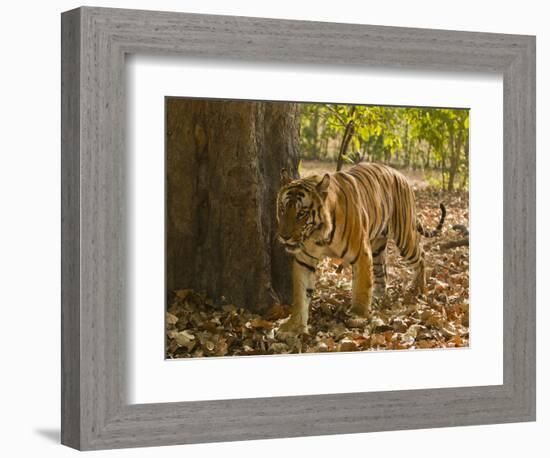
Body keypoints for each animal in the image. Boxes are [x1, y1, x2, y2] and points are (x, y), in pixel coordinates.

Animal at [278, 163, 446, 334]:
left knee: (422, 256)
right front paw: (293, 326)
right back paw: (378, 296)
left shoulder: (361, 253)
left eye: (302, 213)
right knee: (382, 273)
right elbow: (300, 294)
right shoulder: (304, 260)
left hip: (405, 238)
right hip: (378, 247)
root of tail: (401, 175)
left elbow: (361, 287)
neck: (319, 236)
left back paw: (419, 289)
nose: (284, 236)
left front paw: (358, 316)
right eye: (282, 209)